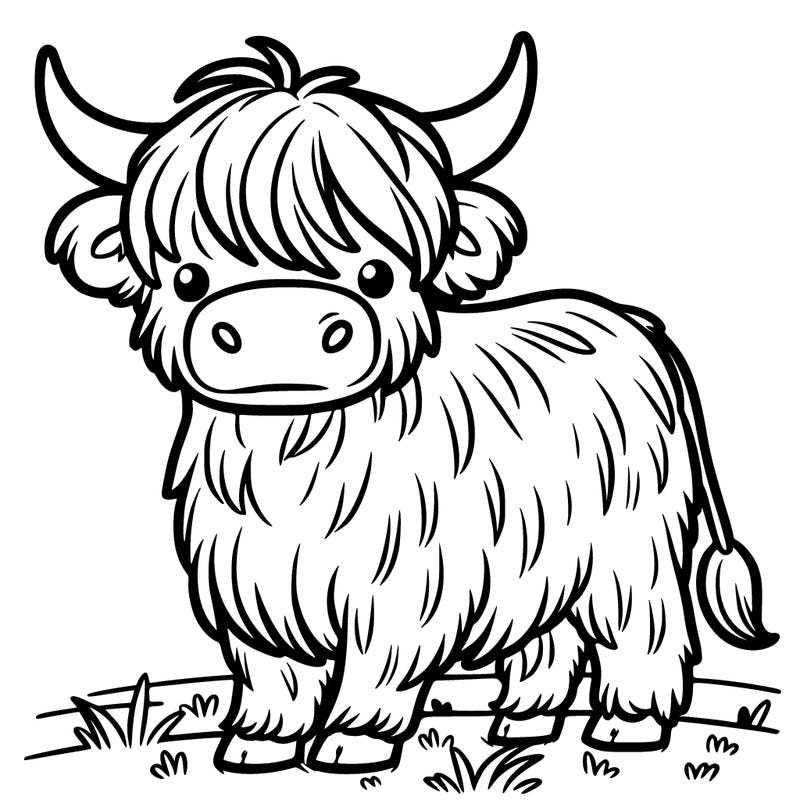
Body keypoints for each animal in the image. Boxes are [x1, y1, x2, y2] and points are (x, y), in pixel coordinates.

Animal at [36, 33, 776, 773]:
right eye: (188, 277)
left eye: (377, 274)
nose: (280, 329)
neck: (296, 458)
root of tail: (630, 321)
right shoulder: (249, 577)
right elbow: (275, 673)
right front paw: (257, 742)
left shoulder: (404, 585)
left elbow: (378, 666)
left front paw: (352, 740)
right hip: (543, 548)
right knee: (549, 638)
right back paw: (523, 723)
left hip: (627, 545)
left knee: (642, 626)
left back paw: (629, 724)